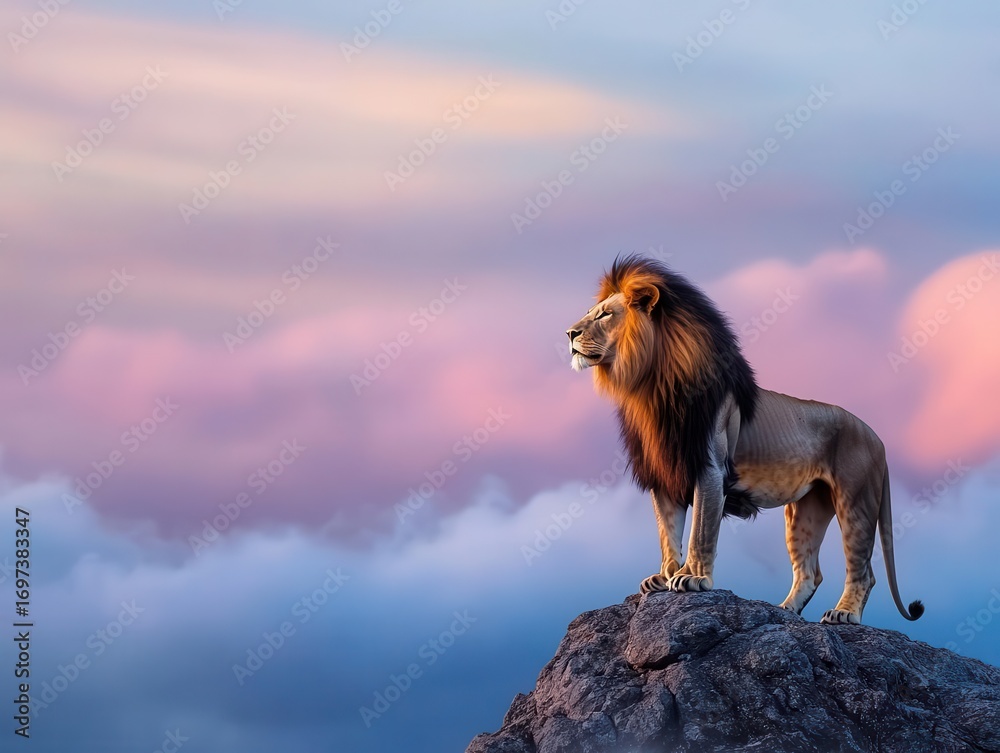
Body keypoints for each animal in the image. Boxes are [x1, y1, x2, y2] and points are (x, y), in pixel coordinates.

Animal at [566, 254, 923, 625]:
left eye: (605, 315)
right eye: (592, 312)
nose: (569, 333)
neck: (652, 387)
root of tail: (877, 438)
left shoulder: (709, 469)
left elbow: (700, 530)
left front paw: (692, 578)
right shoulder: (664, 474)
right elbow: (668, 532)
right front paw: (664, 577)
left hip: (855, 500)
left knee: (863, 570)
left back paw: (843, 614)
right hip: (805, 510)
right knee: (810, 572)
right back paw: (784, 611)